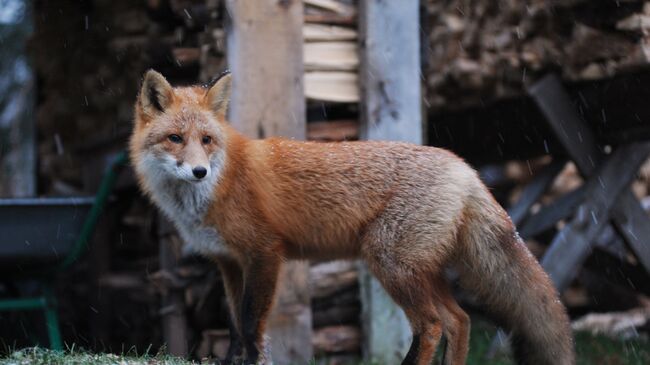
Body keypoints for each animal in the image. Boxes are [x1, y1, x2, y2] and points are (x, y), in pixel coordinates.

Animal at [128, 69, 572, 364]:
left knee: (431, 325)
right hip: (420, 269)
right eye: (175, 139)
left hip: (390, 262)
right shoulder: (229, 262)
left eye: (206, 140)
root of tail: (464, 167)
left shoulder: (265, 252)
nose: (199, 171)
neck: (216, 186)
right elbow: (236, 323)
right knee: (459, 320)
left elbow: (253, 323)